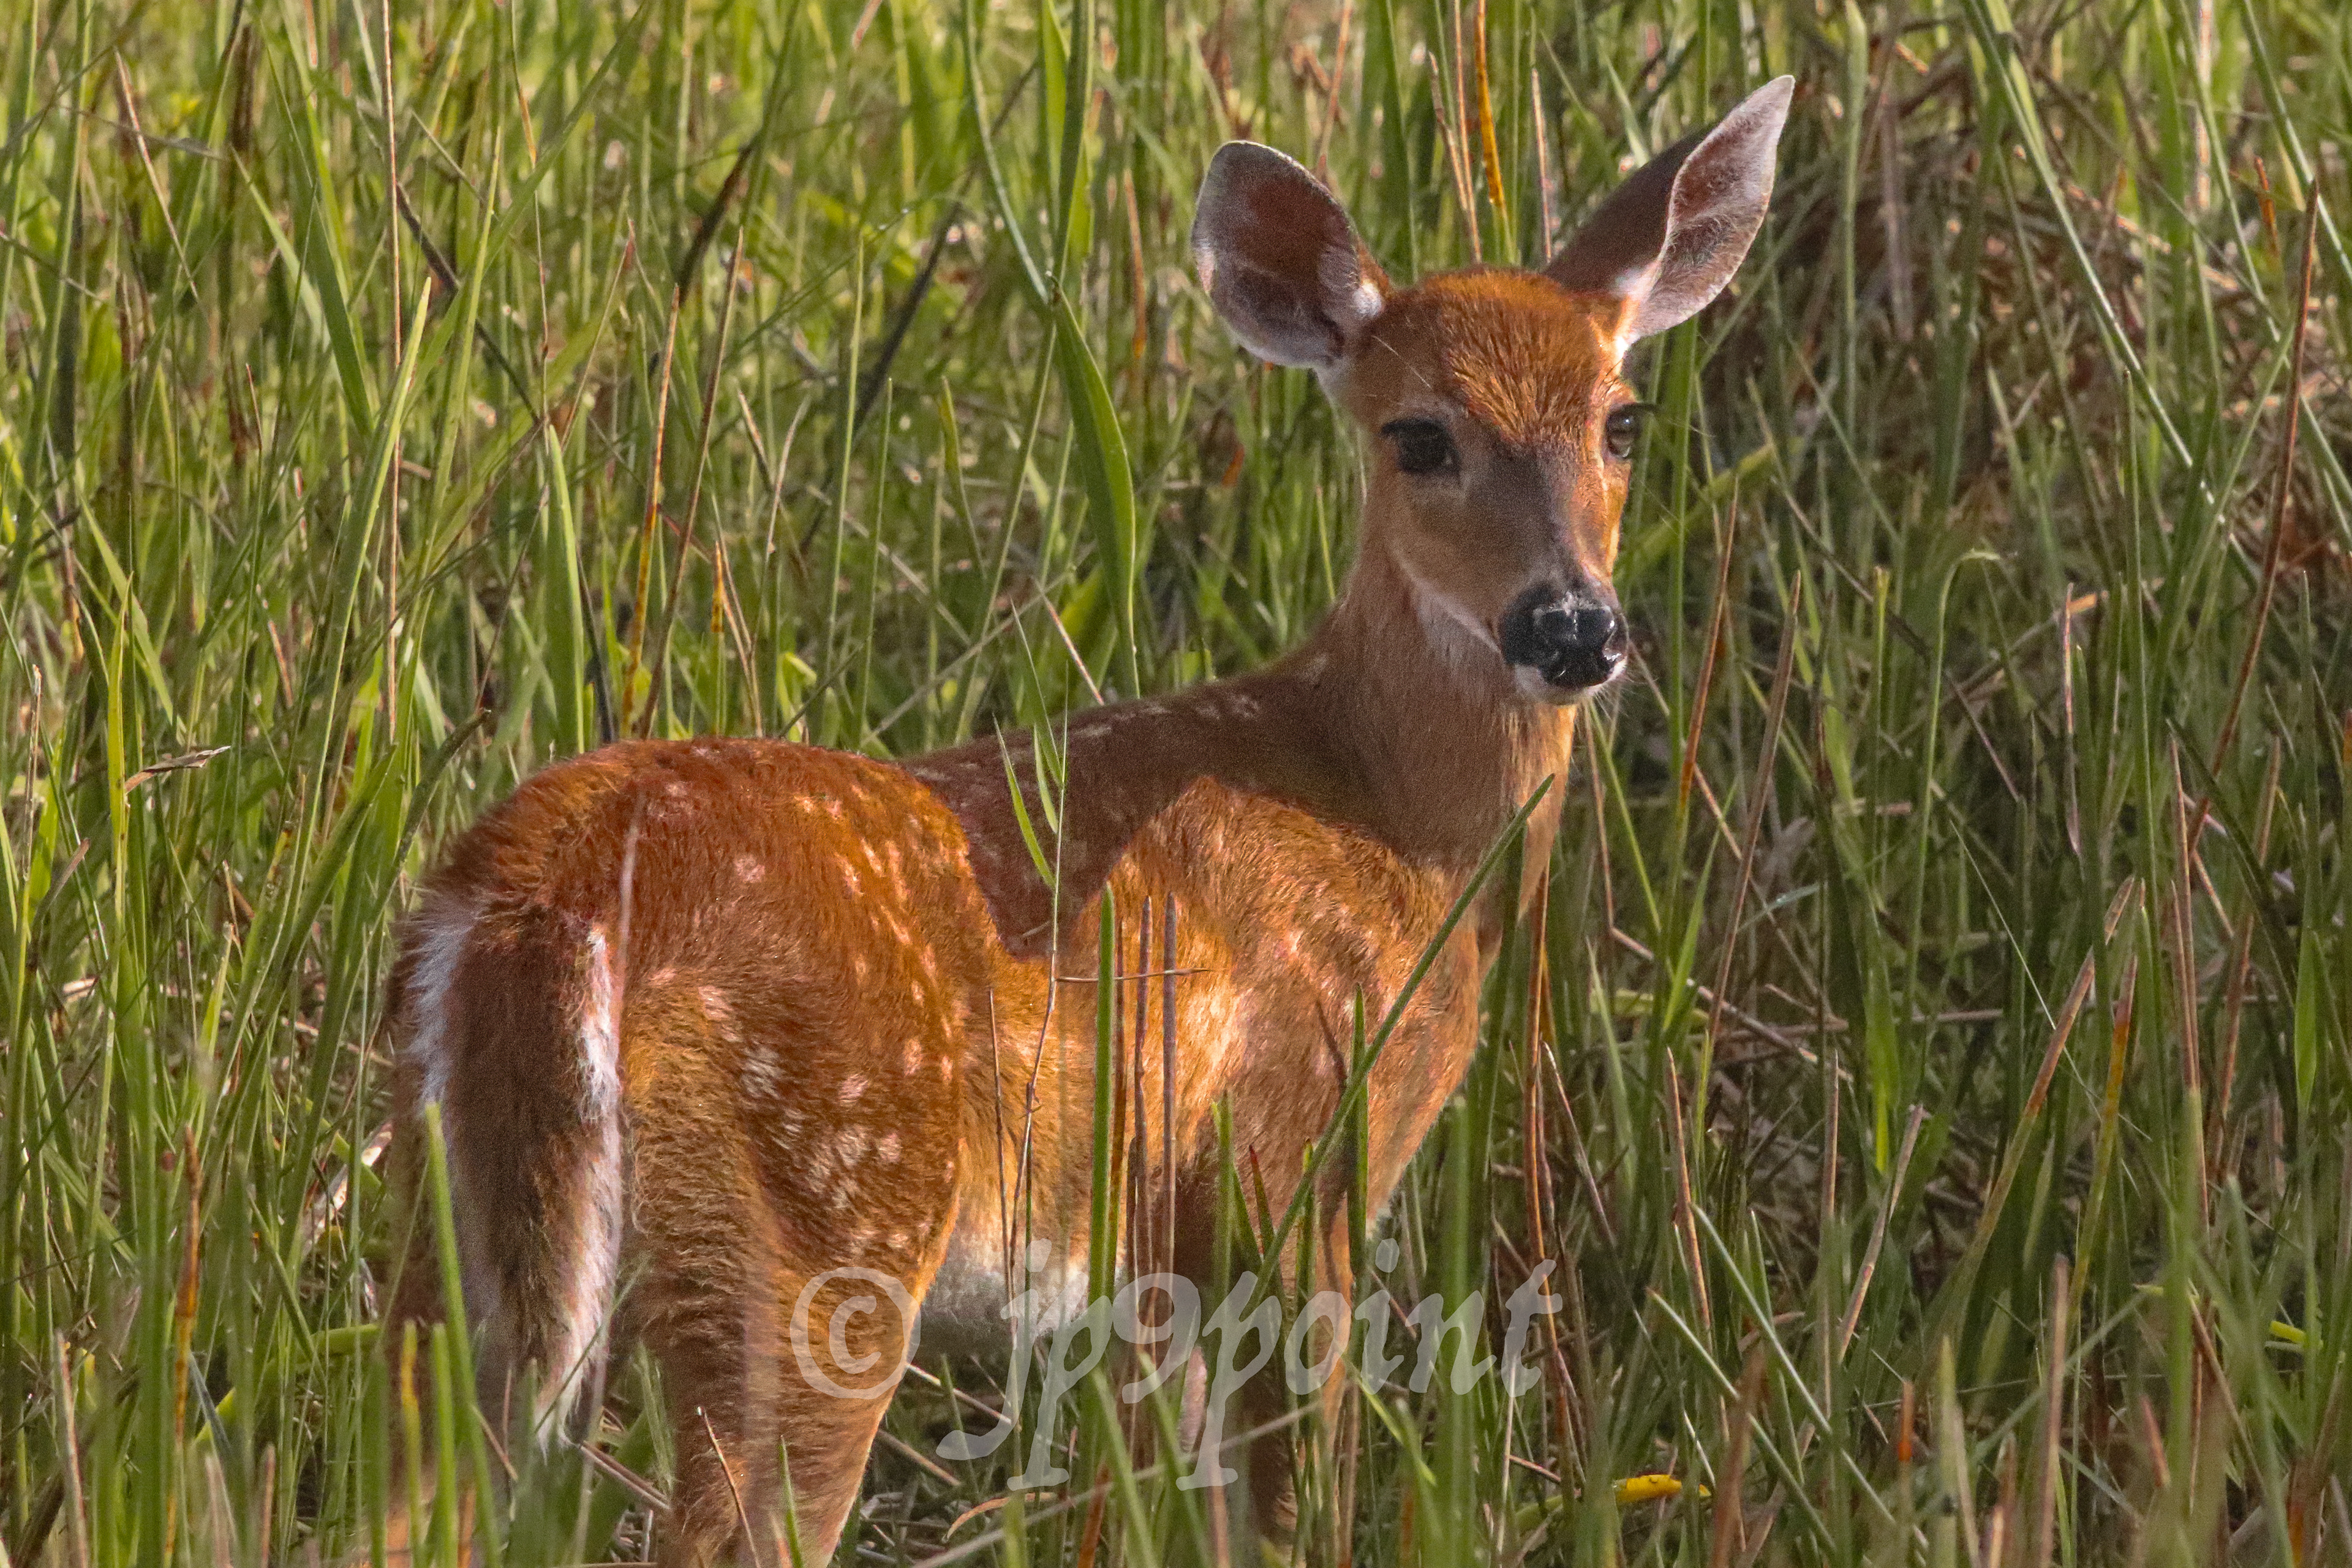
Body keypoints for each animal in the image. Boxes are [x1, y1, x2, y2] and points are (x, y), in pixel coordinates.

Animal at [379, 77, 1791, 1566]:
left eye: (1621, 422)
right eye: (1419, 434)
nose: (1571, 626)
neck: (1386, 819)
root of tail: (549, 884)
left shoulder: (1157, 1267)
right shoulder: (1288, 1161)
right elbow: (1289, 1505)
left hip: (453, 1236)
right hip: (820, 1227)